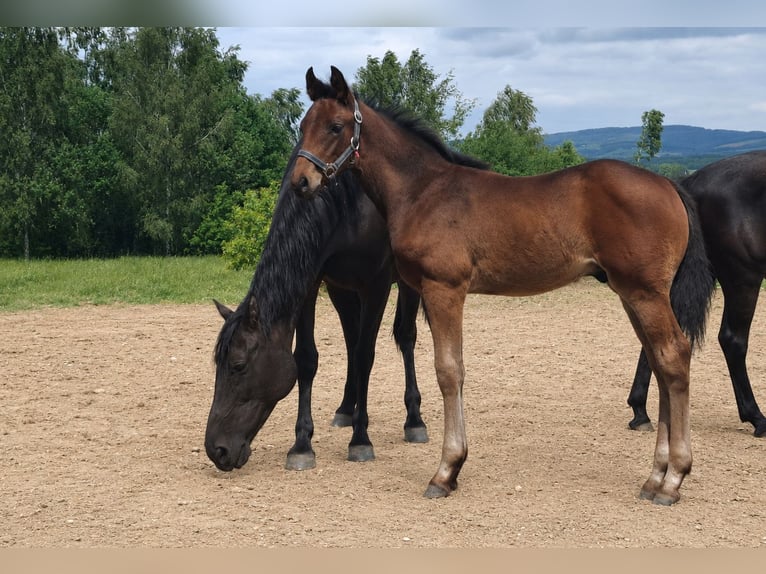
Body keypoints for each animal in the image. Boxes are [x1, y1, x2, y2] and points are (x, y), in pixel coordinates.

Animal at [205, 145, 430, 474]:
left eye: (238, 366)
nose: (216, 450)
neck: (345, 204)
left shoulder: (376, 285)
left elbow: (366, 356)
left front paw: (361, 439)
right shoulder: (311, 280)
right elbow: (307, 359)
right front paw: (301, 445)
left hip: (405, 283)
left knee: (405, 337)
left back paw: (413, 419)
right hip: (342, 290)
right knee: (352, 341)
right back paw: (347, 409)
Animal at [290, 66, 715, 505]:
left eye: (336, 126)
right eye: (302, 126)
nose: (300, 182)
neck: (423, 191)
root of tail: (669, 185)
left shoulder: (444, 289)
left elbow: (449, 371)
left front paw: (447, 470)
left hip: (645, 293)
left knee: (674, 356)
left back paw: (673, 477)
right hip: (631, 293)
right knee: (660, 363)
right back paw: (655, 477)